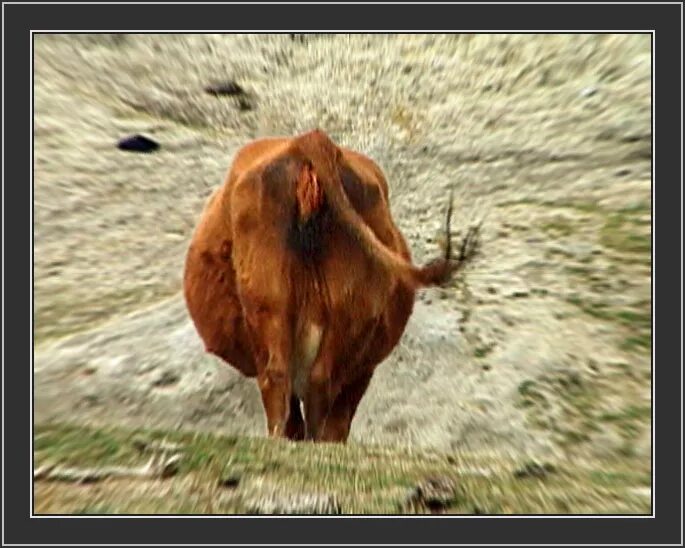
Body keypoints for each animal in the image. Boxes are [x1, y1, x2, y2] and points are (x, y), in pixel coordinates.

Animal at [184, 131, 478, 444]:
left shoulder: (361, 368)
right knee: (313, 382)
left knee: (282, 379)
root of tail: (309, 140)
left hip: (271, 301)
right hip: (349, 305)